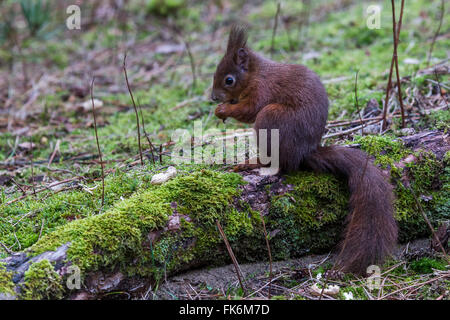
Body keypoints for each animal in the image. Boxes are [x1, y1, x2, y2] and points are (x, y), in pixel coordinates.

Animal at [212, 25, 398, 276]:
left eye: (229, 79)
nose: (213, 97)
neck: (255, 73)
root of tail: (305, 152)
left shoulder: (262, 89)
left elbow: (249, 109)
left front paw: (223, 110)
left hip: (271, 118)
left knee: (279, 162)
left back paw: (253, 163)